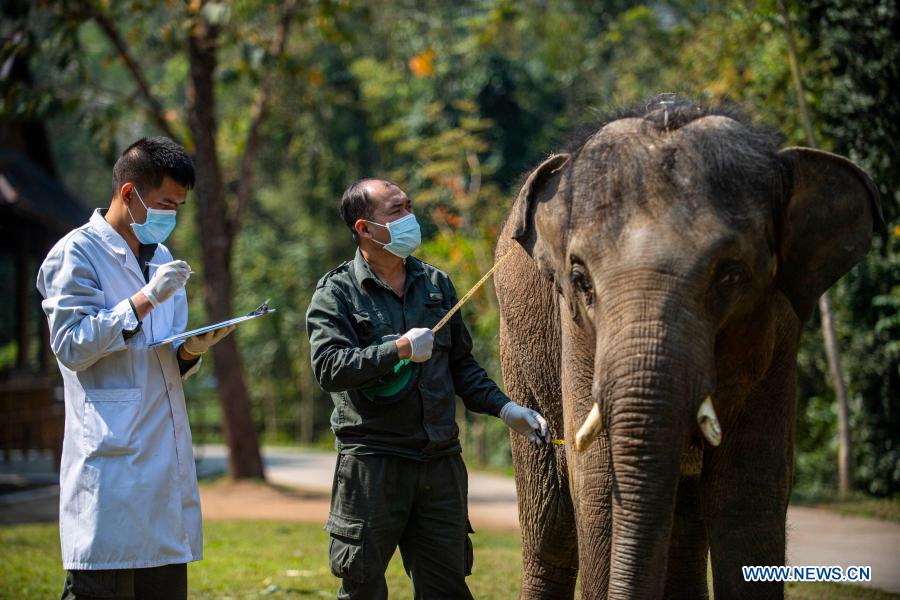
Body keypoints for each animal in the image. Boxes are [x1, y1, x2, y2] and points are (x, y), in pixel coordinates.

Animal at [492, 96, 880, 596]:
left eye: (731, 274)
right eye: (580, 279)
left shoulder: (780, 331)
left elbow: (750, 485)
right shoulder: (574, 330)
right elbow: (597, 481)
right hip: (519, 349)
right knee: (552, 527)